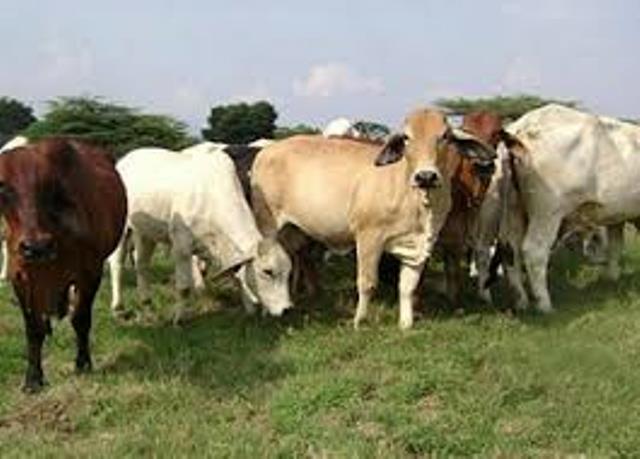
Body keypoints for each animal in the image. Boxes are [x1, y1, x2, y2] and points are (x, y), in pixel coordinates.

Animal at [0, 138, 127, 392]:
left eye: (50, 188)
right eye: (3, 188)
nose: (36, 247)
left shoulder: (90, 273)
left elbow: (80, 319)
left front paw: (83, 363)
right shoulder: (20, 276)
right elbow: (33, 329)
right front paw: (33, 378)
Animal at [108, 146, 292, 323]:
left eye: (289, 271)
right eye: (267, 271)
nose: (287, 309)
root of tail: (125, 159)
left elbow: (237, 273)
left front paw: (249, 309)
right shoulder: (181, 245)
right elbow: (183, 288)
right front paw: (179, 318)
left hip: (146, 232)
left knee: (142, 265)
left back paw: (146, 305)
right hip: (123, 230)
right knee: (117, 264)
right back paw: (118, 307)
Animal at [251, 108, 495, 329]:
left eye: (444, 136)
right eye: (406, 137)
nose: (426, 176)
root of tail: (266, 151)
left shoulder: (420, 245)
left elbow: (407, 286)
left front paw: (406, 323)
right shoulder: (369, 237)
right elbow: (367, 283)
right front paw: (359, 320)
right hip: (268, 226)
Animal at [482, 104, 640, 312]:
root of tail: (521, 127)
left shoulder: (617, 216)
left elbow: (615, 245)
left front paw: (611, 277)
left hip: (513, 210)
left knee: (510, 250)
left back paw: (521, 301)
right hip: (548, 213)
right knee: (534, 251)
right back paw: (544, 305)